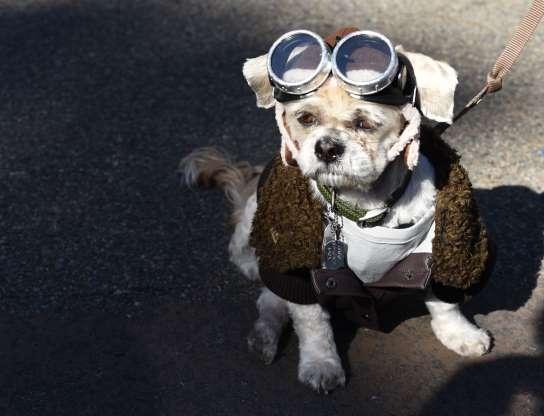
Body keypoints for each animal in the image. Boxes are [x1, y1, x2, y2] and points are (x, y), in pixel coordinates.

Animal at [182, 33, 492, 394]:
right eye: (306, 119)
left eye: (365, 124)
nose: (327, 147)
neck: (366, 206)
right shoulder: (299, 268)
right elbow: (313, 323)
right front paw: (321, 364)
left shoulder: (437, 249)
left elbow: (444, 302)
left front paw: (459, 333)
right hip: (255, 220)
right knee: (266, 297)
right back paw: (263, 333)